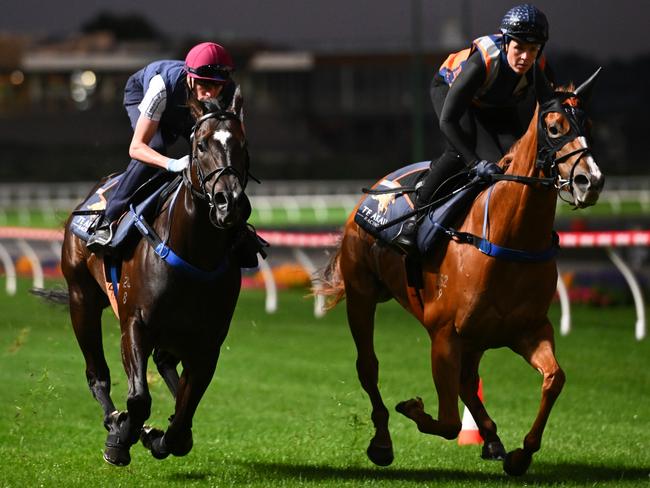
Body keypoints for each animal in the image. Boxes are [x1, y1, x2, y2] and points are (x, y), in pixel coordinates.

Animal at [62, 87, 251, 466]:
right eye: (201, 145)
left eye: (242, 143)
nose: (230, 203)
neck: (194, 251)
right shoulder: (135, 322)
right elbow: (138, 399)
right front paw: (122, 437)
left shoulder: (208, 340)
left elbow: (184, 414)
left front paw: (160, 436)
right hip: (81, 298)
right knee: (97, 374)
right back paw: (114, 420)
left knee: (165, 365)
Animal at [316, 70, 604, 474]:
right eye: (554, 127)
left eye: (588, 125)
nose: (590, 181)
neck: (509, 239)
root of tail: (373, 191)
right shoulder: (444, 335)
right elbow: (450, 422)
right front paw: (413, 408)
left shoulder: (529, 329)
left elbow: (554, 378)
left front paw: (521, 453)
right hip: (361, 296)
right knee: (368, 367)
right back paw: (383, 442)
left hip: (476, 337)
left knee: (469, 382)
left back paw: (493, 439)